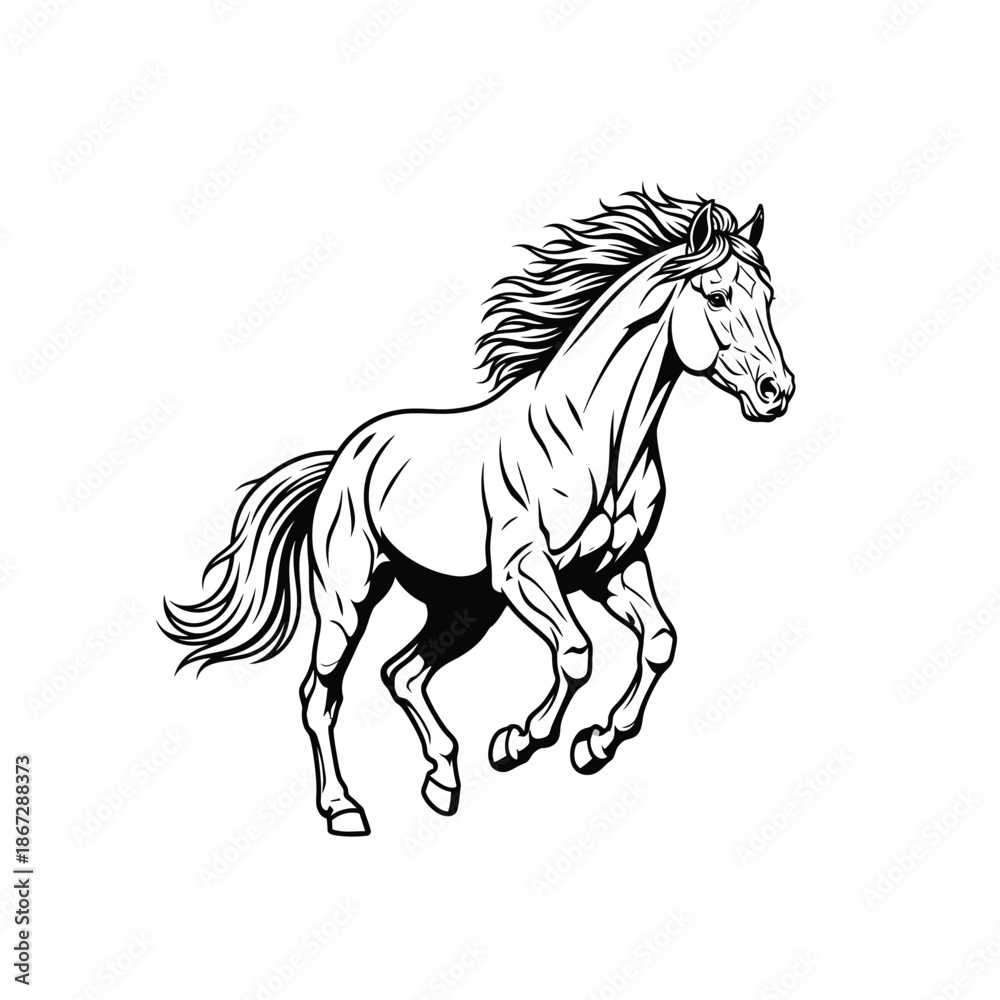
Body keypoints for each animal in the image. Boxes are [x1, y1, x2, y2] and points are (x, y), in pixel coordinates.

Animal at [162, 189, 795, 836]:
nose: (776, 391)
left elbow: (659, 643)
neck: (596, 439)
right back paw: (345, 808)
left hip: (464, 607)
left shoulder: (611, 568)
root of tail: (342, 458)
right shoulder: (524, 570)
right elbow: (576, 653)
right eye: (717, 296)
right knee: (322, 695)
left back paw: (443, 779)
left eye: (768, 297)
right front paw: (519, 741)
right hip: (350, 597)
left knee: (401, 672)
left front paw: (594, 744)